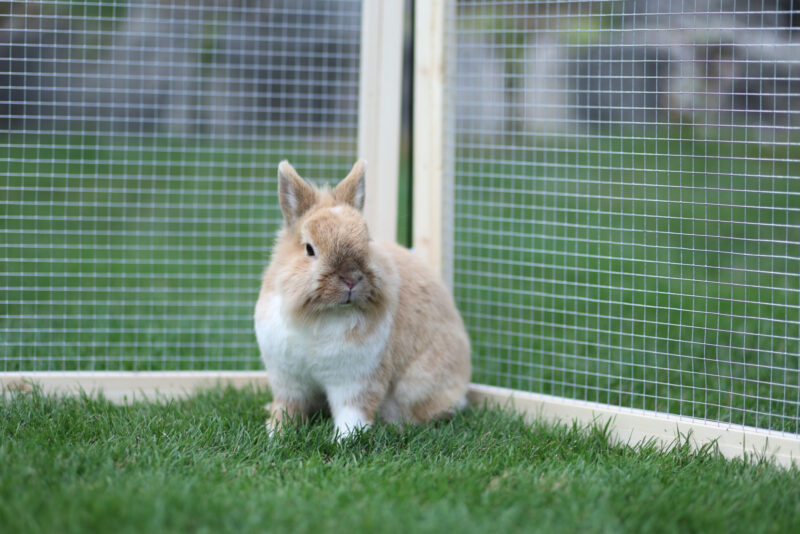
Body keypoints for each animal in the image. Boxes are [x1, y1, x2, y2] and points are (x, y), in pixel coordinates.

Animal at [253, 161, 472, 442]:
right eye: (309, 249)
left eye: (367, 242)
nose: (351, 278)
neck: (320, 314)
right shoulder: (288, 380)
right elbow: (287, 407)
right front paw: (276, 433)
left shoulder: (358, 380)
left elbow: (353, 413)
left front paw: (344, 440)